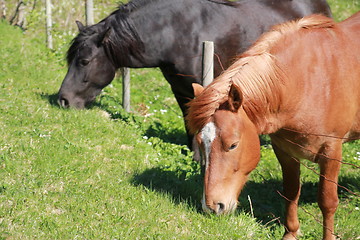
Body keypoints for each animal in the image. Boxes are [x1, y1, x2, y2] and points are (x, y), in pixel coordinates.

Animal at [187, 12, 360, 240]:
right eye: (201, 143)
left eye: (233, 145)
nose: (213, 206)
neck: (306, 83)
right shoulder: (285, 151)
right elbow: (290, 192)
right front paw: (291, 233)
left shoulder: (331, 152)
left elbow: (327, 201)